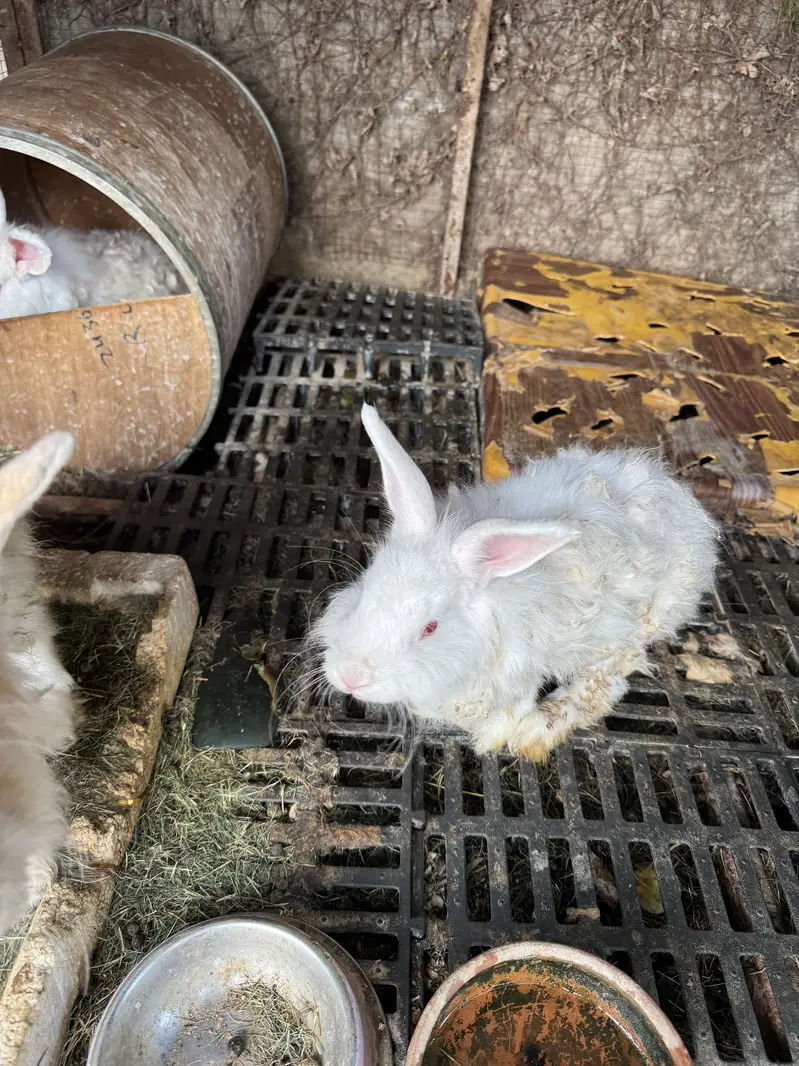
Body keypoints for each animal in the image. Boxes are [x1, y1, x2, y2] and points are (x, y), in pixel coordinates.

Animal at [312, 404, 719, 762]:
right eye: (365, 593)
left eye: (430, 628)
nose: (351, 676)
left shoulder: (518, 672)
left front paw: (493, 735)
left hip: (632, 624)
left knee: (606, 680)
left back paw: (536, 733)